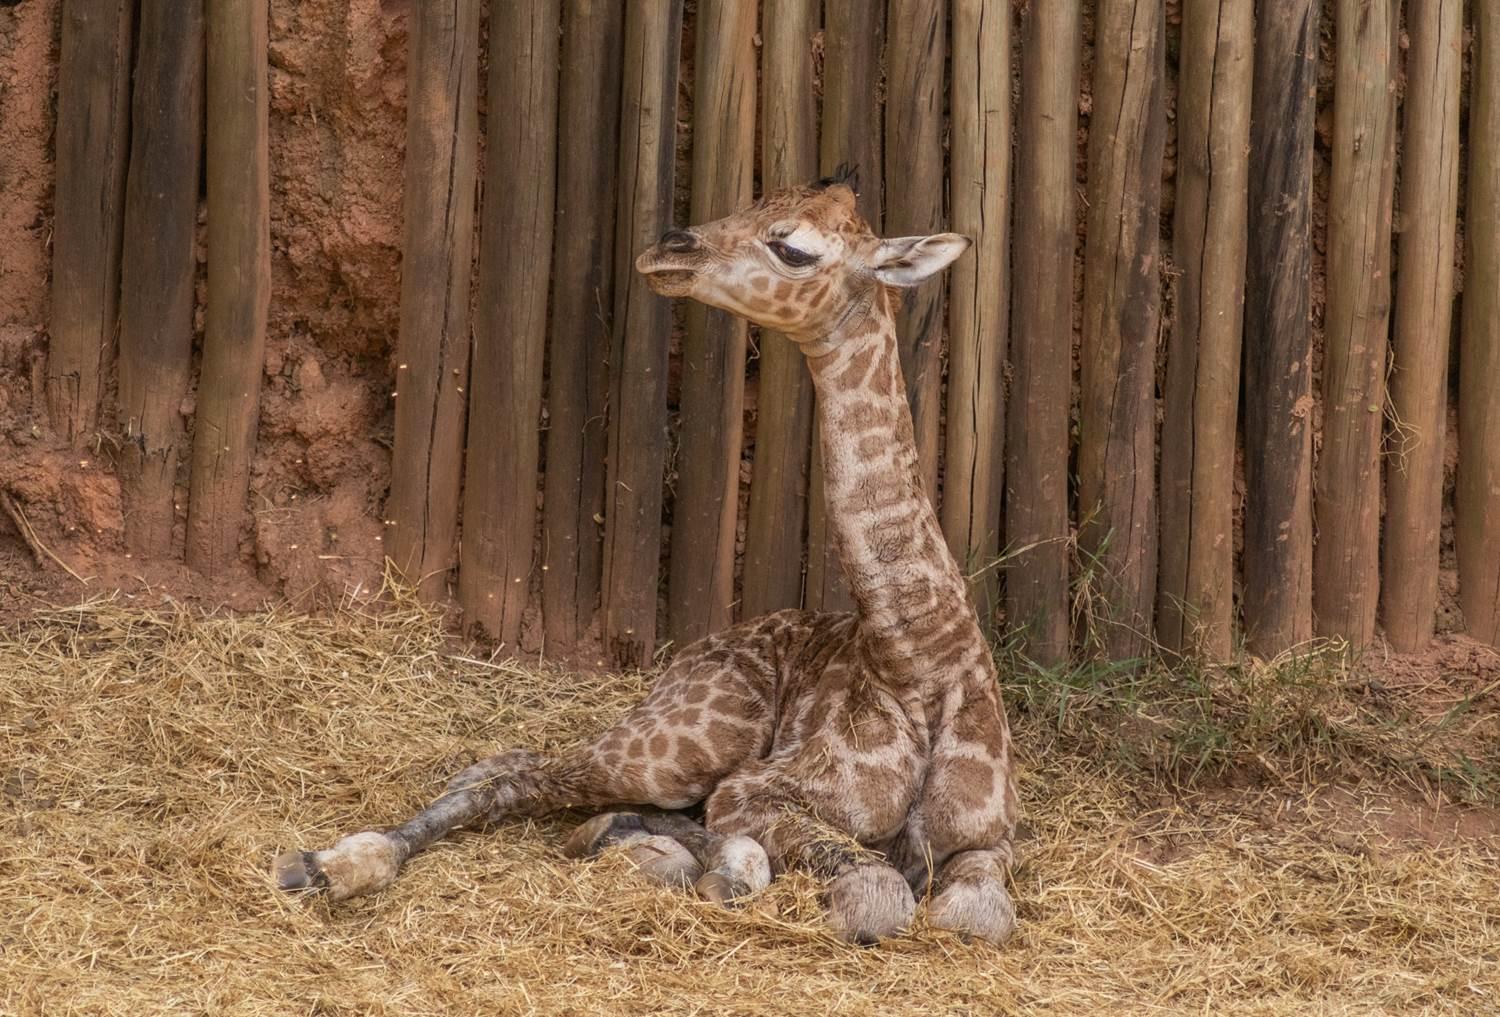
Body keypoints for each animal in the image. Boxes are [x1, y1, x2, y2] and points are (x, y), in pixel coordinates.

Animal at [273, 173, 1020, 948]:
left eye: (792, 247)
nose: (668, 247)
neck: (920, 659)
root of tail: (692, 652)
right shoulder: (757, 790)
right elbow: (877, 893)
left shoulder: (991, 841)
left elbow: (977, 916)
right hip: (687, 742)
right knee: (515, 771)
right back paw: (331, 864)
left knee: (532, 774)